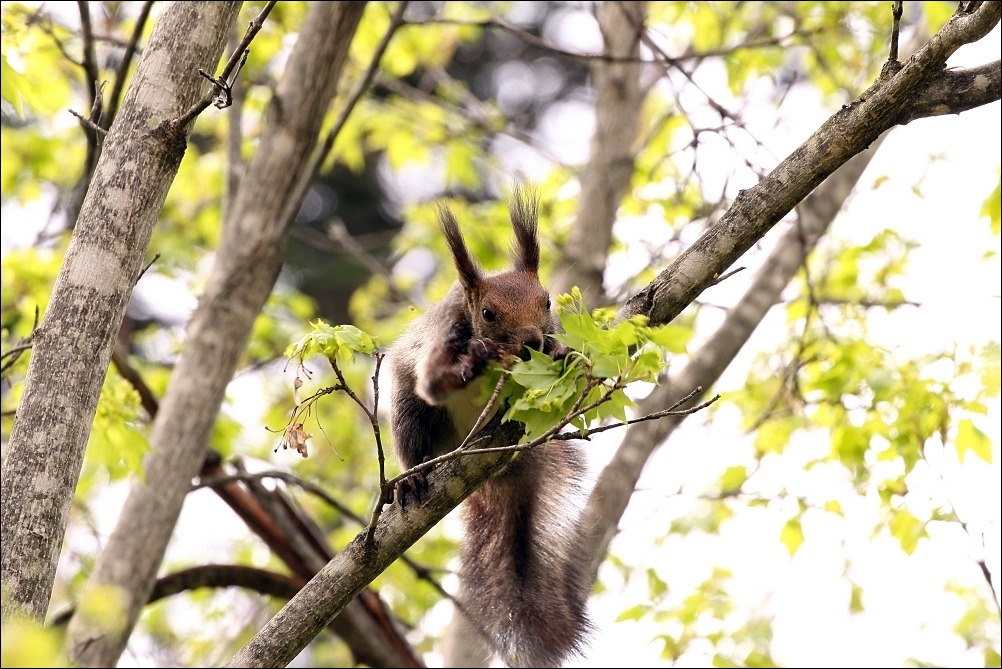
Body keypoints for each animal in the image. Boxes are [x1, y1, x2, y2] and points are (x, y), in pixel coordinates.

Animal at [388, 189, 593, 669]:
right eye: (487, 313)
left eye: (548, 302)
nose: (534, 340)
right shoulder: (439, 339)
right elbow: (433, 381)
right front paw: (474, 357)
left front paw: (562, 351)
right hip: (411, 419)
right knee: (414, 440)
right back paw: (411, 479)